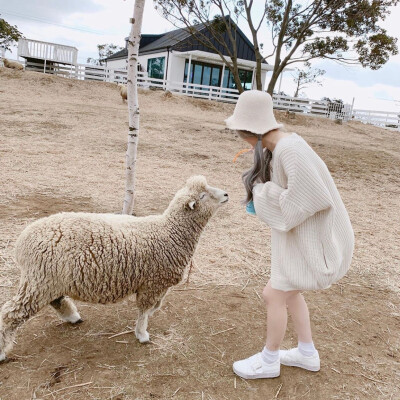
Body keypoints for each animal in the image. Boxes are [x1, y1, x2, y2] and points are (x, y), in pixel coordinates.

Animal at [0, 175, 228, 360]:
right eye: (203, 196)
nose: (226, 194)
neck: (169, 232)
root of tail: (22, 241)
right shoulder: (152, 283)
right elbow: (144, 311)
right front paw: (142, 334)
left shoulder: (157, 284)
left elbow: (154, 307)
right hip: (40, 279)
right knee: (11, 313)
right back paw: (2, 351)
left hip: (48, 279)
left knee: (55, 300)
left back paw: (73, 317)